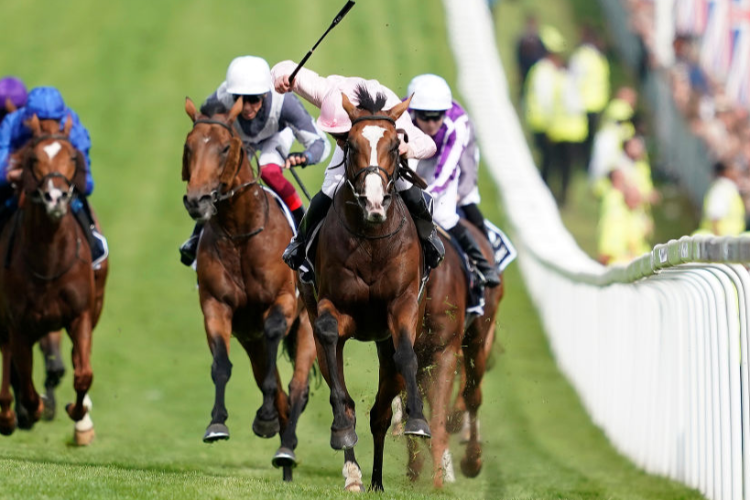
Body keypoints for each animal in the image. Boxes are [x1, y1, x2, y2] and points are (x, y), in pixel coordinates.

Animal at [0, 114, 109, 446]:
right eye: (33, 158)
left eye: (72, 156)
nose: (56, 198)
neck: (48, 260)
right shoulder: (19, 324)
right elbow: (25, 378)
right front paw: (30, 410)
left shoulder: (80, 314)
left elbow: (83, 373)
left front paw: (77, 412)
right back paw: (10, 414)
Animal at [183, 95, 318, 482]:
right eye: (189, 147)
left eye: (225, 148)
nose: (197, 200)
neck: (242, 233)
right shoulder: (216, 305)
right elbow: (221, 364)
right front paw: (217, 424)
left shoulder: (284, 301)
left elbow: (274, 344)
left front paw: (266, 417)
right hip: (250, 341)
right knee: (277, 387)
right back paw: (284, 454)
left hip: (308, 328)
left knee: (297, 388)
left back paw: (286, 447)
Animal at [298, 87, 428, 492]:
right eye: (350, 144)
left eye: (395, 144)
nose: (373, 202)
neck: (371, 240)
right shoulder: (333, 307)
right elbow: (328, 335)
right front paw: (342, 432)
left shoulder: (403, 306)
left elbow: (407, 355)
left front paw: (418, 421)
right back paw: (356, 473)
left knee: (381, 411)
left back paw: (377, 481)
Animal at [406, 221, 506, 486]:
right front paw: (416, 466)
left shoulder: (445, 350)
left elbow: (440, 416)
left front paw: (438, 482)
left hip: (477, 340)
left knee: (473, 395)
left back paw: (472, 460)